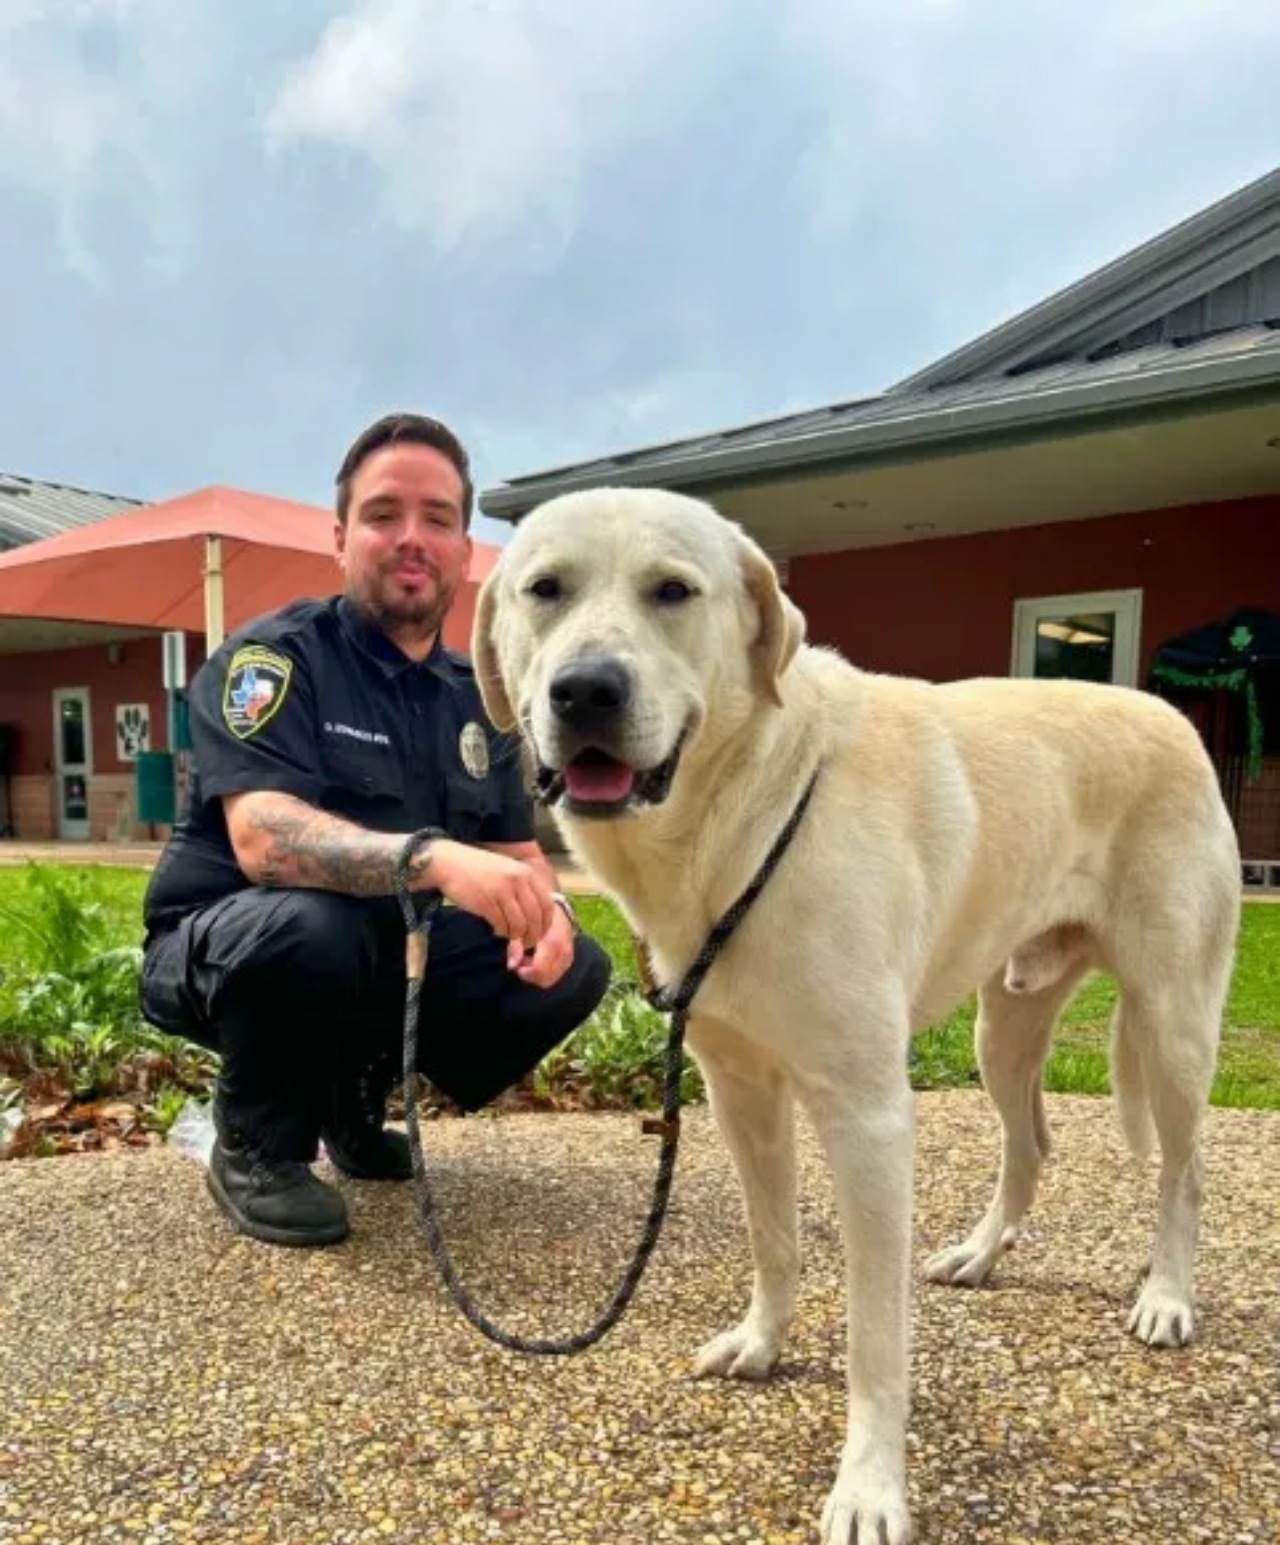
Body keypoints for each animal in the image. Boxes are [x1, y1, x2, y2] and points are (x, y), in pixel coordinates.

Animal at [473, 488, 1242, 1538]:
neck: (738, 818)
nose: (585, 691)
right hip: (1003, 1026)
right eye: (544, 589)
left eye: (672, 591)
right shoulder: (740, 1091)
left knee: (1184, 1171)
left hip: (1171, 1023)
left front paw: (870, 1486)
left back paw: (1166, 1295)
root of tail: (1169, 712)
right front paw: (762, 1341)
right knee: (1032, 1142)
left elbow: (876, 1334)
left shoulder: (870, 1115)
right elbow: (774, 1238)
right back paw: (980, 1252)